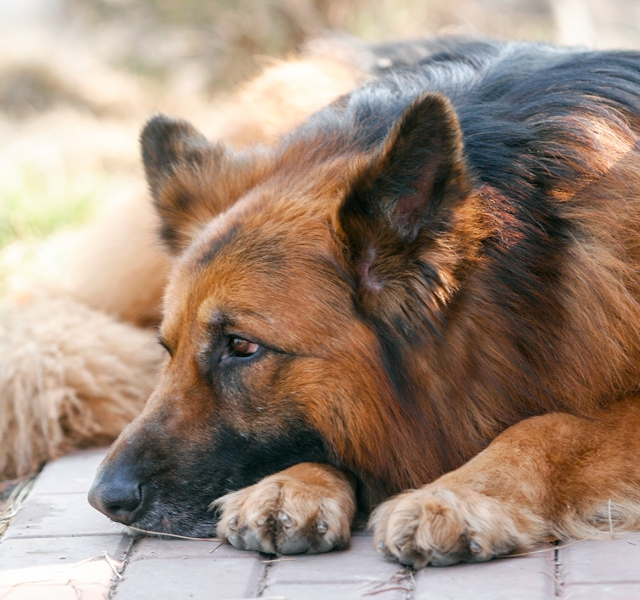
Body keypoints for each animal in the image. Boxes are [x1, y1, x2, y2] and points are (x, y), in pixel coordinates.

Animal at [91, 38, 640, 568]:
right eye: (168, 350)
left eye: (242, 346)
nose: (102, 499)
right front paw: (288, 486)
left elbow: (553, 427)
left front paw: (456, 496)